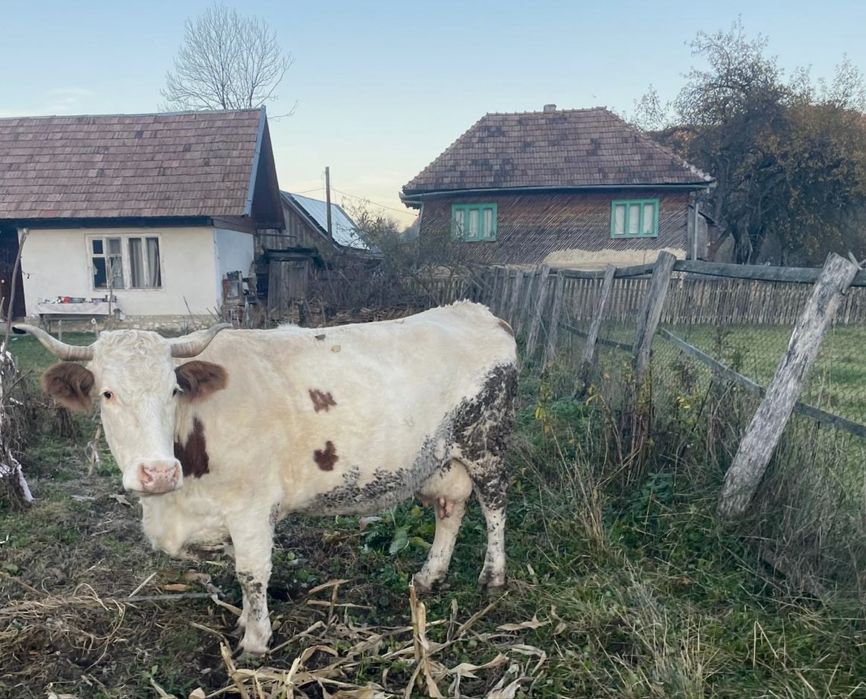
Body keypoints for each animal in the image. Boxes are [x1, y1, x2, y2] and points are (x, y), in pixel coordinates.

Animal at [18, 301, 517, 655]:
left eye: (174, 390)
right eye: (107, 393)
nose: (158, 472)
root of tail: (476, 310)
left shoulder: (251, 506)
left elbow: (251, 572)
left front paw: (255, 641)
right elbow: (240, 573)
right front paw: (243, 622)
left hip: (486, 444)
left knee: (494, 505)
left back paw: (493, 576)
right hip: (443, 459)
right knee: (450, 509)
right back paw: (429, 577)